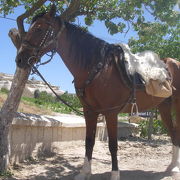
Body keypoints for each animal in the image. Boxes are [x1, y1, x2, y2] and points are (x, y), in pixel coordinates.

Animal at [15, 5, 180, 179]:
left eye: (39, 28)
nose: (20, 59)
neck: (98, 68)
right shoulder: (90, 111)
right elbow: (89, 141)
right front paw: (84, 172)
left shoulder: (111, 112)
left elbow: (113, 145)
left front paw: (115, 174)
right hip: (164, 106)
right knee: (173, 133)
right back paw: (171, 166)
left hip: (176, 105)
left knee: (176, 133)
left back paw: (175, 168)